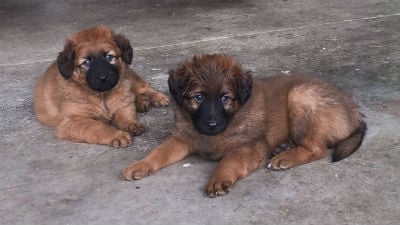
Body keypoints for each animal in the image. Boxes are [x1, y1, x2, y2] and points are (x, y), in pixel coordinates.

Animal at [32, 26, 167, 147]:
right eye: (86, 62)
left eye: (109, 57)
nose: (103, 78)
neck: (102, 95)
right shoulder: (71, 121)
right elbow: (97, 126)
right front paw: (117, 135)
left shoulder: (122, 103)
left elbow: (125, 114)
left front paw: (131, 124)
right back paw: (142, 101)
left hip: (128, 76)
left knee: (141, 86)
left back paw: (158, 97)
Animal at [120, 54, 368, 197]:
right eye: (198, 97)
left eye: (225, 98)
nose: (212, 124)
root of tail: (355, 112)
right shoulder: (181, 138)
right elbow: (158, 152)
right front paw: (139, 165)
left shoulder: (248, 146)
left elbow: (228, 161)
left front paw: (218, 180)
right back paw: (282, 147)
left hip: (301, 95)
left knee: (316, 148)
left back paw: (285, 157)